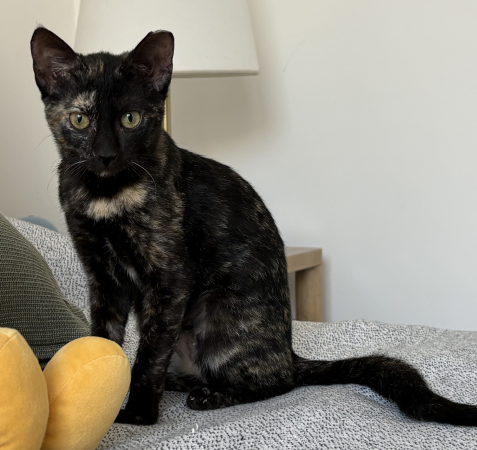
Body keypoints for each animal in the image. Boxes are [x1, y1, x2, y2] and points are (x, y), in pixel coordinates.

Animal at [31, 26, 477, 426]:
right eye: (80, 119)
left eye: (130, 118)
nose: (105, 154)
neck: (104, 194)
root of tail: (289, 351)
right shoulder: (102, 277)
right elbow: (104, 342)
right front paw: (101, 393)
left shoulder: (169, 278)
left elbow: (148, 358)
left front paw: (137, 415)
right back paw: (183, 383)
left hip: (217, 314)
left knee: (275, 382)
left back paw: (211, 394)